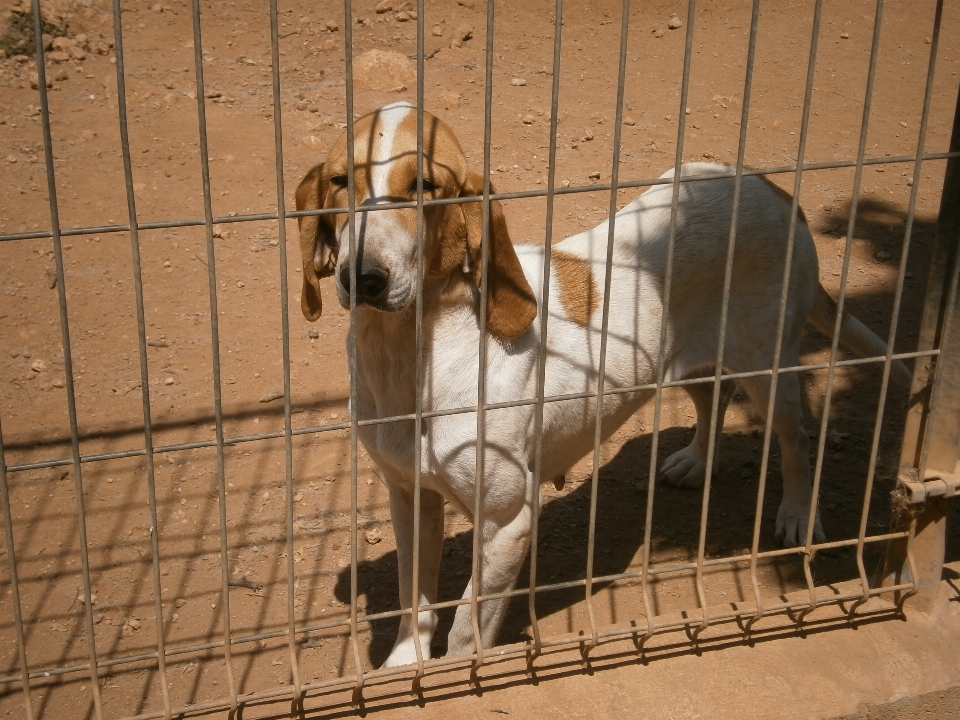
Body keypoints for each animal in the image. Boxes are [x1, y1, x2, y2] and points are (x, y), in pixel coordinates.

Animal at [292, 102, 908, 668]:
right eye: (340, 182)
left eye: (423, 186)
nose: (363, 278)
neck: (410, 353)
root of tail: (770, 188)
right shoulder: (408, 497)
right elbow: (412, 602)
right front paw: (405, 668)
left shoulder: (506, 523)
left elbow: (468, 626)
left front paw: (459, 677)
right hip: (682, 357)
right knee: (714, 398)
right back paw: (697, 462)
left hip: (768, 368)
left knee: (796, 437)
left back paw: (798, 515)